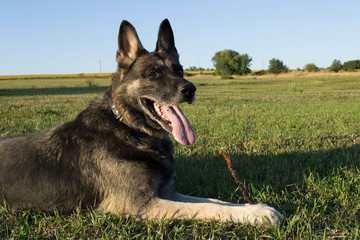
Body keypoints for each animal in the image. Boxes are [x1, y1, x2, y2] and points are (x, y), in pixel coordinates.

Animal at [0, 19, 282, 226]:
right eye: (152, 74)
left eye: (179, 70)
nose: (190, 90)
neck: (129, 128)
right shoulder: (142, 205)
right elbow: (207, 208)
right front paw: (257, 214)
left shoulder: (165, 193)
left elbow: (212, 201)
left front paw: (254, 207)